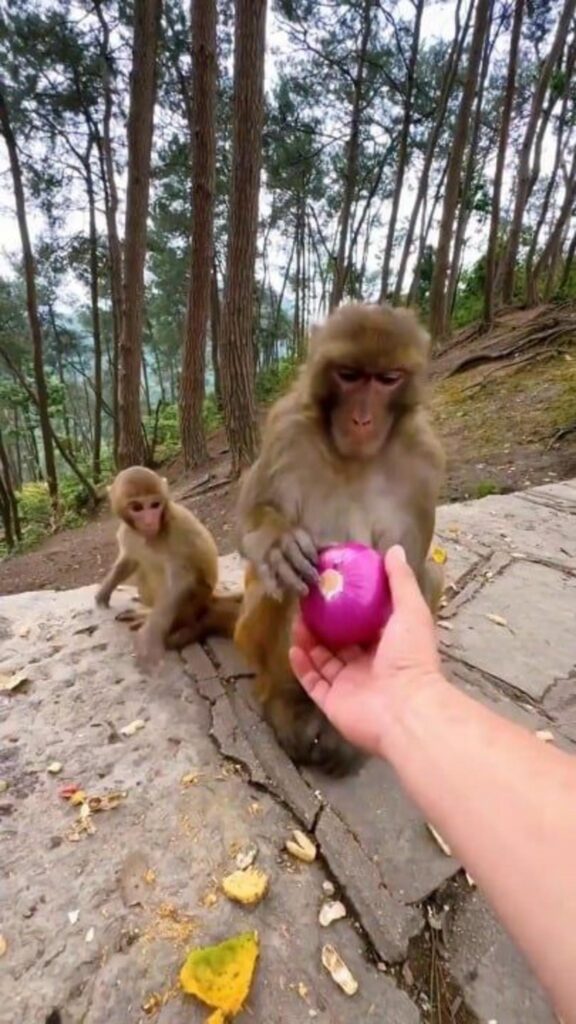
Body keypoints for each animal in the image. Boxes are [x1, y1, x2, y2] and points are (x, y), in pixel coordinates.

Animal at [95, 466, 241, 669]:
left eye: (155, 504)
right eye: (137, 507)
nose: (150, 521)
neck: (149, 537)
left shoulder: (178, 531)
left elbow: (180, 582)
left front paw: (150, 636)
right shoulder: (127, 532)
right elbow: (129, 560)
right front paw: (104, 592)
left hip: (196, 603)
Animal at [234, 301, 446, 776]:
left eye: (388, 378)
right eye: (349, 375)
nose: (362, 418)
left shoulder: (424, 458)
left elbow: (410, 564)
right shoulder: (286, 426)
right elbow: (251, 525)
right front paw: (277, 543)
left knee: (432, 575)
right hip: (251, 642)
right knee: (277, 589)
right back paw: (287, 706)